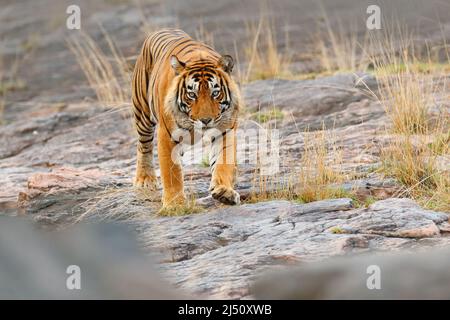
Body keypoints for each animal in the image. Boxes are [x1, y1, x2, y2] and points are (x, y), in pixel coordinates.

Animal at [132, 28, 241, 209]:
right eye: (192, 94)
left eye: (215, 93)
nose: (206, 120)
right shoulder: (167, 135)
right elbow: (171, 171)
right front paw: (174, 204)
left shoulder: (225, 130)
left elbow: (223, 162)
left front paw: (224, 191)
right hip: (142, 112)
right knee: (144, 146)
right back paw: (145, 179)